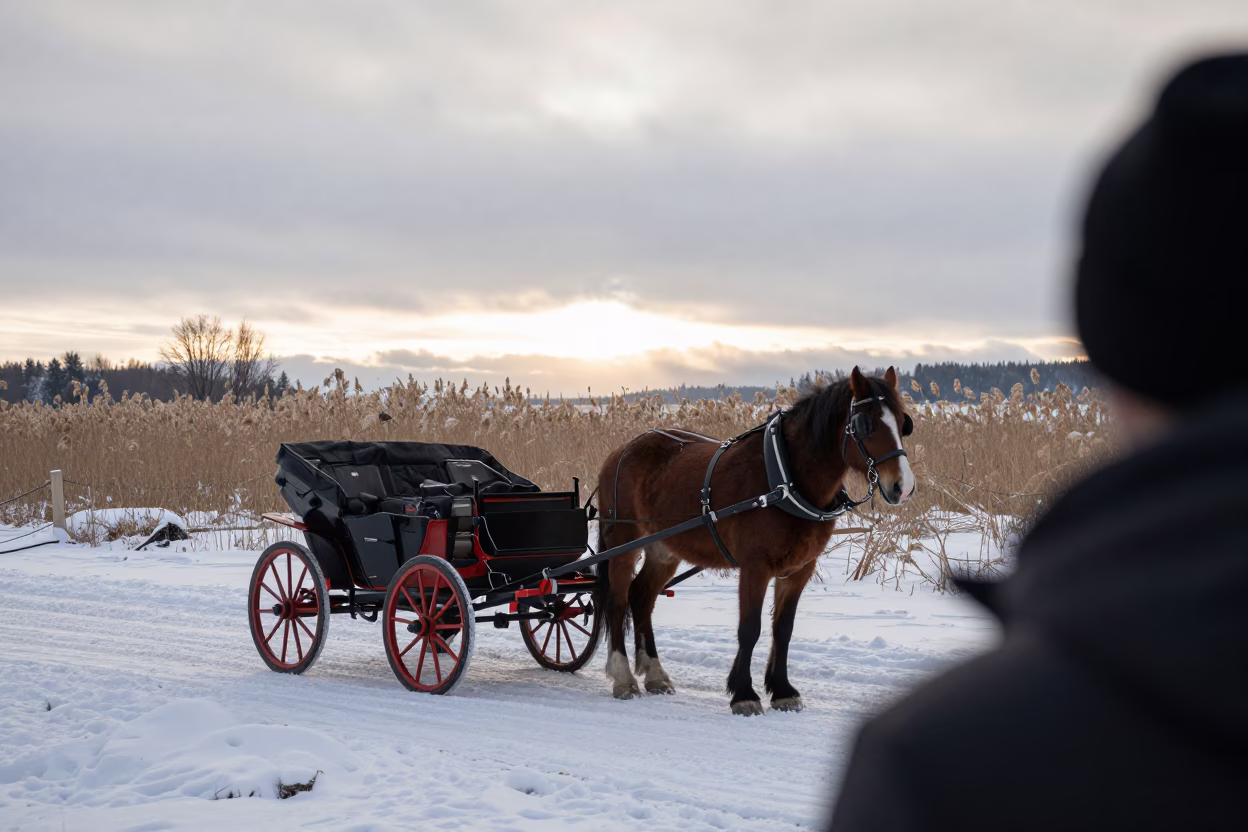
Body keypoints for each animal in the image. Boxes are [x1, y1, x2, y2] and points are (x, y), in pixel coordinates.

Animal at [594, 366, 915, 715]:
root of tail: (622, 450)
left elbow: (783, 630)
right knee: (617, 600)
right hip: (623, 543)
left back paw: (655, 674)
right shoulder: (755, 567)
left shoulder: (799, 569)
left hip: (664, 549)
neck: (786, 479)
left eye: (903, 423)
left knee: (641, 597)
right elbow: (750, 629)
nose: (902, 487)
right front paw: (744, 694)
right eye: (865, 424)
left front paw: (783, 690)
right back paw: (623, 678)